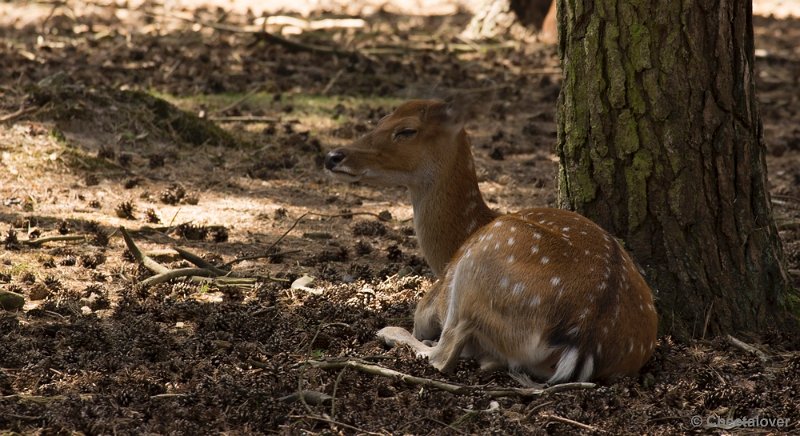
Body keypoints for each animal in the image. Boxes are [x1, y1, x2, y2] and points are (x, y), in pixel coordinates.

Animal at [322, 92, 660, 384]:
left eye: (407, 130)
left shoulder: (431, 303)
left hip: (478, 270)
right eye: (381, 119)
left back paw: (392, 332)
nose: (333, 156)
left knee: (443, 353)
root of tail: (586, 336)